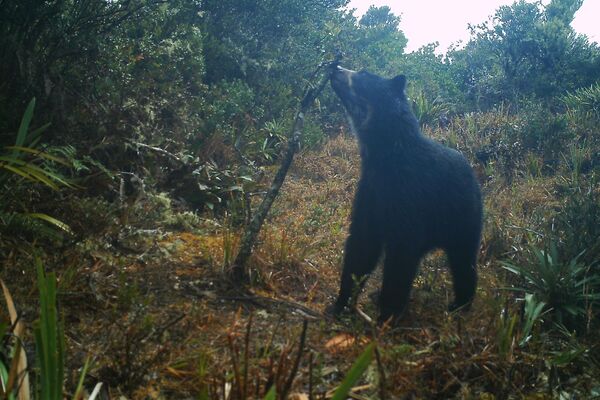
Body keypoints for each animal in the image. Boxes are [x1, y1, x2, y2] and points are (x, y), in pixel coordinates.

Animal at [328, 65, 482, 322]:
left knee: (464, 261)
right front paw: (340, 303)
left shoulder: (411, 198)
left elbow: (400, 259)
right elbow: (361, 247)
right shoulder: (371, 193)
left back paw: (460, 304)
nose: (335, 67)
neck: (385, 157)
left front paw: (387, 314)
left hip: (463, 219)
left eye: (364, 73)